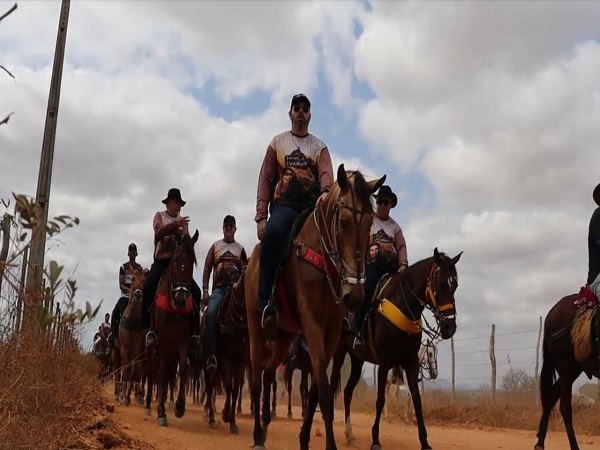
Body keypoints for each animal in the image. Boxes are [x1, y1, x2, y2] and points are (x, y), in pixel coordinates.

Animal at [150, 232, 199, 426]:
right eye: (176, 259)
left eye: (192, 261)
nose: (181, 298)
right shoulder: (164, 341)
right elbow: (162, 373)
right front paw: (161, 413)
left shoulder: (182, 341)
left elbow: (183, 369)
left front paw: (179, 407)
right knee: (160, 373)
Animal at [246, 165, 386, 450]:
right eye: (343, 222)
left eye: (370, 224)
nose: (354, 296)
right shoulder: (312, 324)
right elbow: (323, 393)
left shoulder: (331, 334)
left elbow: (315, 393)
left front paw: (303, 438)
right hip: (255, 326)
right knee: (255, 380)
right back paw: (257, 436)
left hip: (285, 335)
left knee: (268, 372)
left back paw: (265, 426)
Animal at [330, 250, 462, 450]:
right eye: (440, 284)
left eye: (455, 285)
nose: (449, 327)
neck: (402, 305)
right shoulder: (385, 363)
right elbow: (379, 401)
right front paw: (375, 440)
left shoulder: (411, 363)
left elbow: (416, 400)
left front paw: (425, 442)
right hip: (339, 352)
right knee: (331, 388)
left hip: (357, 359)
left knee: (347, 392)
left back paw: (350, 434)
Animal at [536, 292, 600, 450]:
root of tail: (552, 312)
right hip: (566, 367)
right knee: (565, 408)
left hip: (573, 370)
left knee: (551, 397)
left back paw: (540, 442)